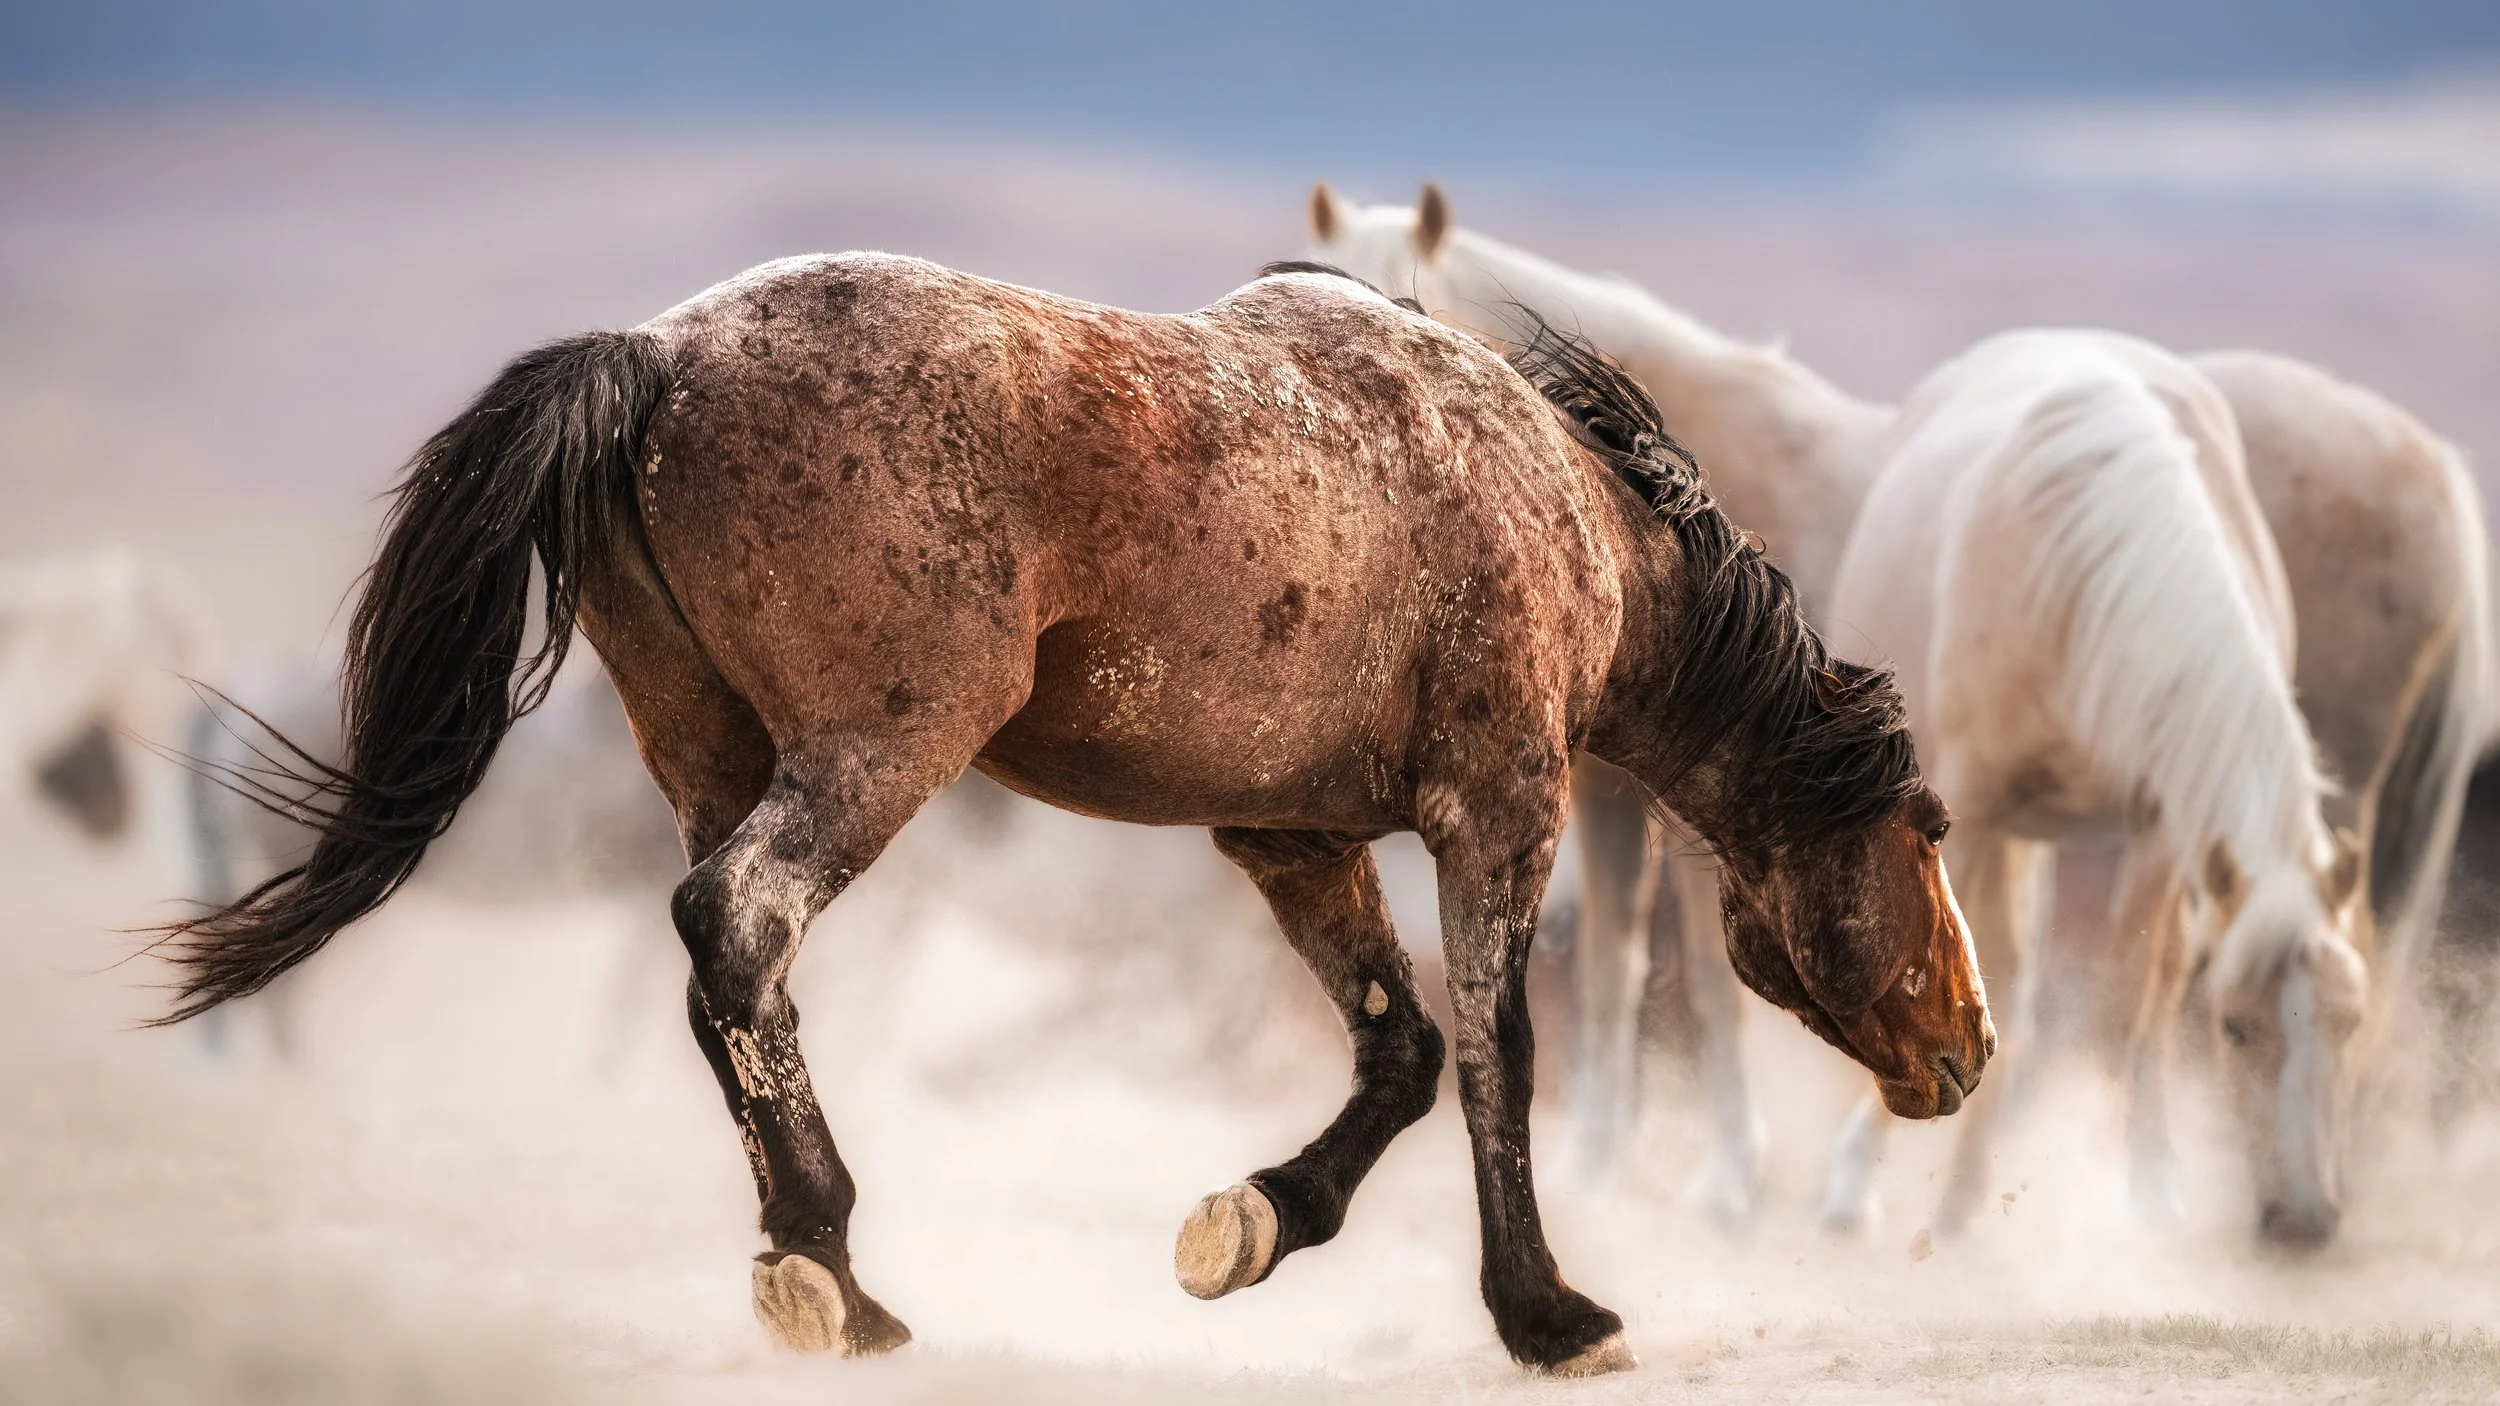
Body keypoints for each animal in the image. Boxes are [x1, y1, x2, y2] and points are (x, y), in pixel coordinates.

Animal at [154, 252, 1988, 1375]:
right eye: (1930, 828)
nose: (1968, 1045)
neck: (1556, 506)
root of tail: (658, 361)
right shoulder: (1496, 813)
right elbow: (1494, 1052)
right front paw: (1546, 1314)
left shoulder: (1293, 840)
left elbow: (1398, 1054)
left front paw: (1252, 1225)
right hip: (875, 752)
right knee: (739, 924)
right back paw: (833, 1267)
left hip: (713, 754)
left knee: (729, 965)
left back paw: (818, 1269)